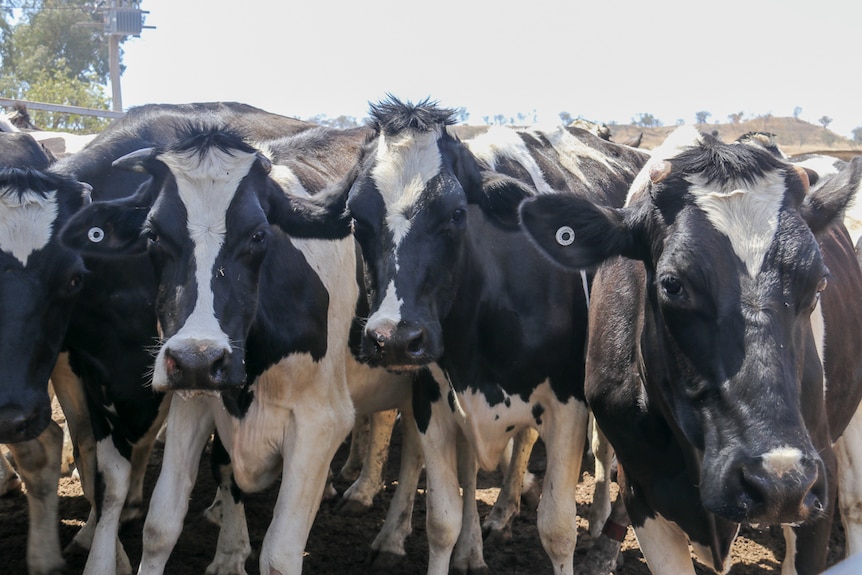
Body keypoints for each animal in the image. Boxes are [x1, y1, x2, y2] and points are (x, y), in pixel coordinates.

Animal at [270, 97, 648, 572]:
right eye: (357, 218)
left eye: (455, 213)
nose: (394, 339)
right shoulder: (433, 405)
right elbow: (442, 522)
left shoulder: (568, 408)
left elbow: (558, 530)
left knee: (604, 451)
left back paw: (598, 527)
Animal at [520, 127, 862, 575]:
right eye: (672, 284)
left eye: (819, 282)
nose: (776, 481)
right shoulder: (642, 493)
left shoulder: (816, 483)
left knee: (854, 503)